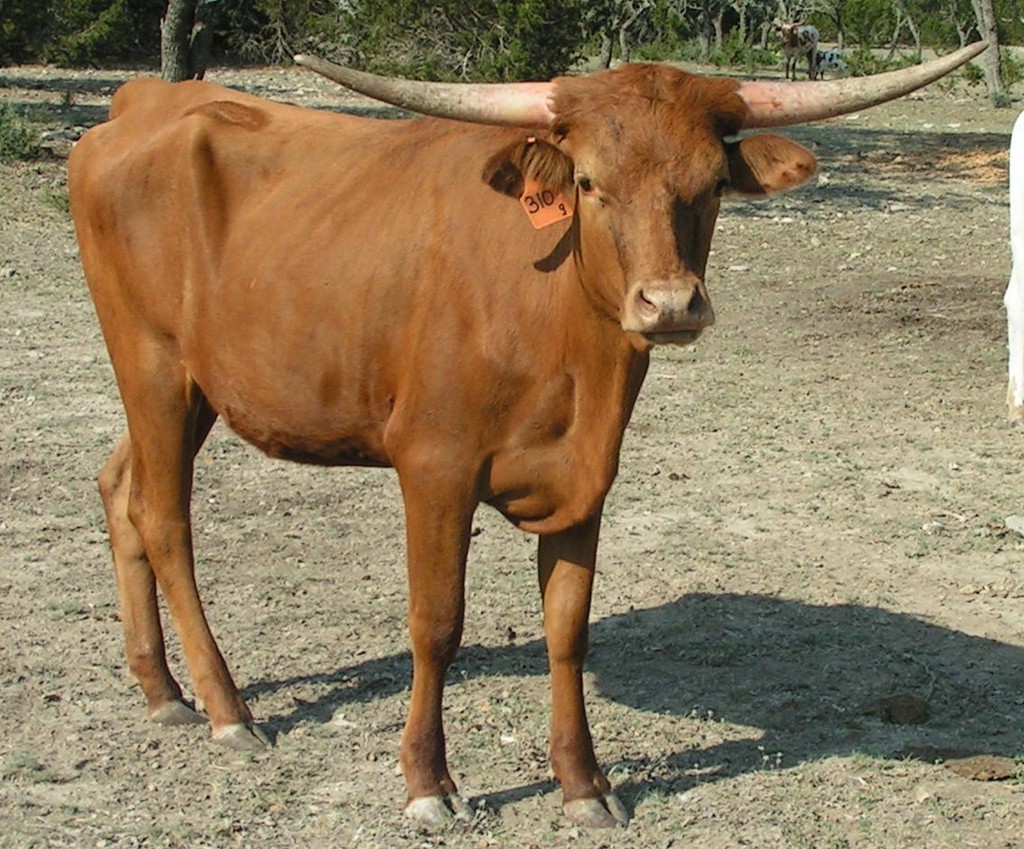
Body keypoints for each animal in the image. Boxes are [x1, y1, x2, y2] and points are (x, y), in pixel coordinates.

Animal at [67, 43, 985, 829]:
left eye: (712, 184)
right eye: (586, 181)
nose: (670, 304)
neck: (567, 347)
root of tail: (147, 101)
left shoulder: (588, 476)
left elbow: (567, 627)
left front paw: (584, 784)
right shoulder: (433, 465)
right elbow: (436, 621)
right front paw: (427, 781)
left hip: (194, 387)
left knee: (120, 486)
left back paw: (161, 689)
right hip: (151, 362)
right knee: (166, 518)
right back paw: (228, 710)